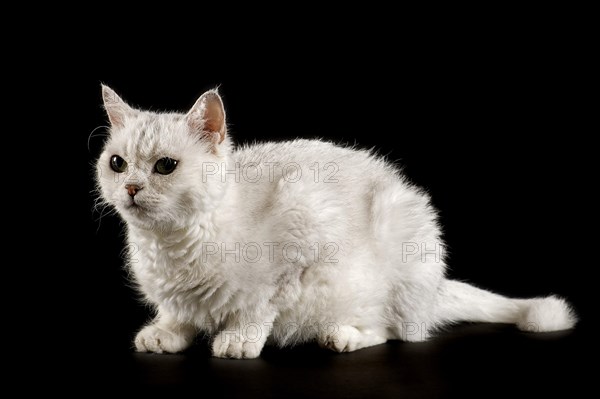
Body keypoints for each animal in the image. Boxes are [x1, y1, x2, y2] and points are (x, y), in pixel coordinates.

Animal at [97, 85, 576, 360]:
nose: (132, 188)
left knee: (394, 332)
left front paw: (238, 340)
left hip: (400, 250)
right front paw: (166, 335)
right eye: (117, 163)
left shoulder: (301, 239)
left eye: (165, 166)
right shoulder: (174, 297)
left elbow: (258, 308)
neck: (171, 247)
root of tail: (436, 288)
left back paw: (340, 336)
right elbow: (177, 313)